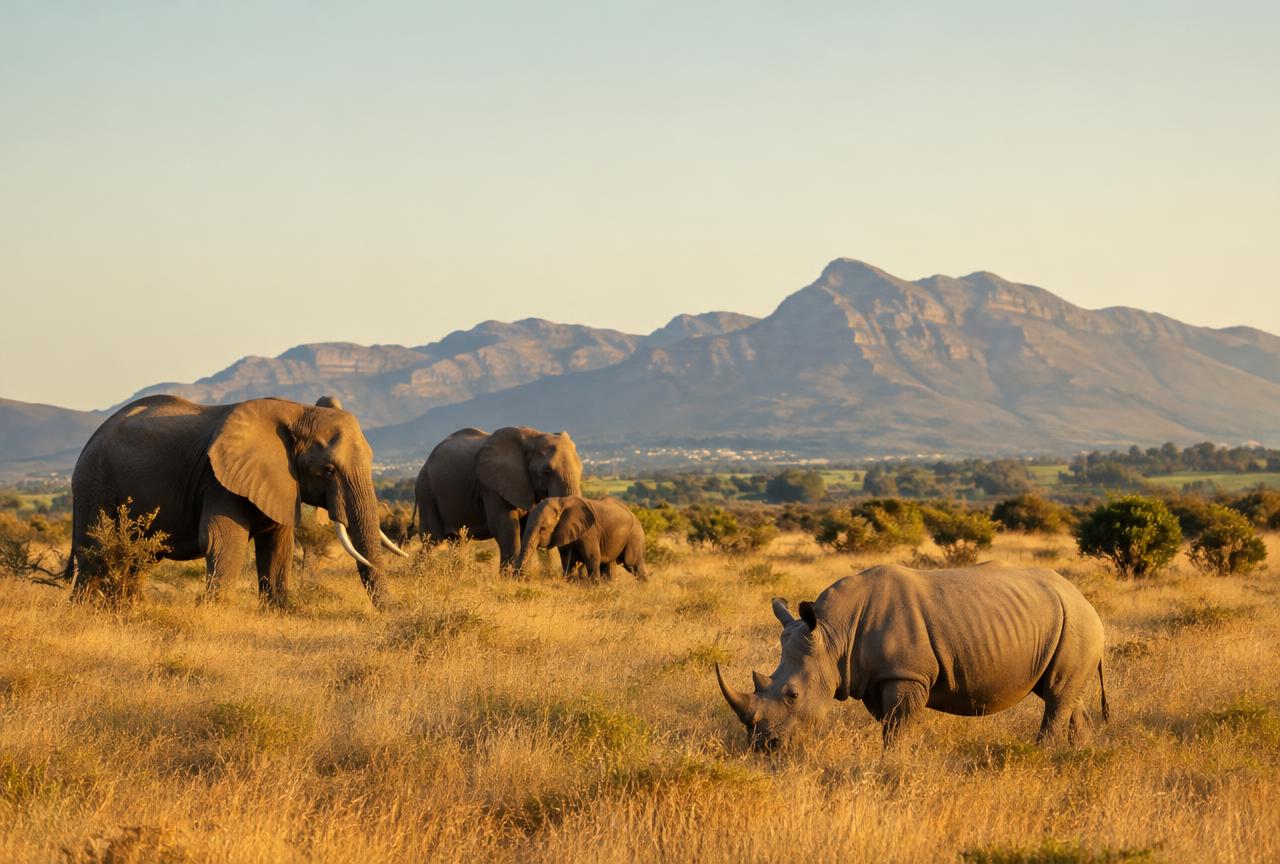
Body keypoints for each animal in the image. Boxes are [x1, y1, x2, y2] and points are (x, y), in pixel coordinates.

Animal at [69, 395, 407, 607]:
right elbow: (221, 538)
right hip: (93, 481)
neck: (295, 411)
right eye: (327, 470)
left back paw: (129, 608)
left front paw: (278, 611)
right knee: (95, 552)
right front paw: (212, 611)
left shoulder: (282, 484)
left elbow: (278, 546)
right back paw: (84, 611)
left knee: (140, 558)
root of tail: (91, 439)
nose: (398, 610)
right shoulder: (219, 481)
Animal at [414, 426, 582, 570]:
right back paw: (418, 573)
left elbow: (527, 527)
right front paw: (510, 578)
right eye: (546, 471)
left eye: (581, 469)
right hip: (426, 491)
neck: (533, 437)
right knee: (432, 539)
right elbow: (505, 527)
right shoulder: (491, 487)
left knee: (457, 541)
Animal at [514, 495, 648, 582]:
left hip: (635, 536)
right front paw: (569, 582)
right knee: (607, 566)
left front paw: (594, 587)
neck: (561, 501)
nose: (523, 578)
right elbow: (567, 560)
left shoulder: (589, 532)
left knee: (632, 563)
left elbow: (592, 557)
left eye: (543, 529)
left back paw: (643, 589)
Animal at [716, 561, 1108, 752]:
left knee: (1056, 696)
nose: (764, 748)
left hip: (1078, 622)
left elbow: (896, 728)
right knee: (1066, 695)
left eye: (792, 695)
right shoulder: (876, 677)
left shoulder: (906, 674)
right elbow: (891, 724)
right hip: (1065, 622)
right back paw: (1079, 755)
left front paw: (893, 764)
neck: (832, 635)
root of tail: (1082, 596)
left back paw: (1043, 754)